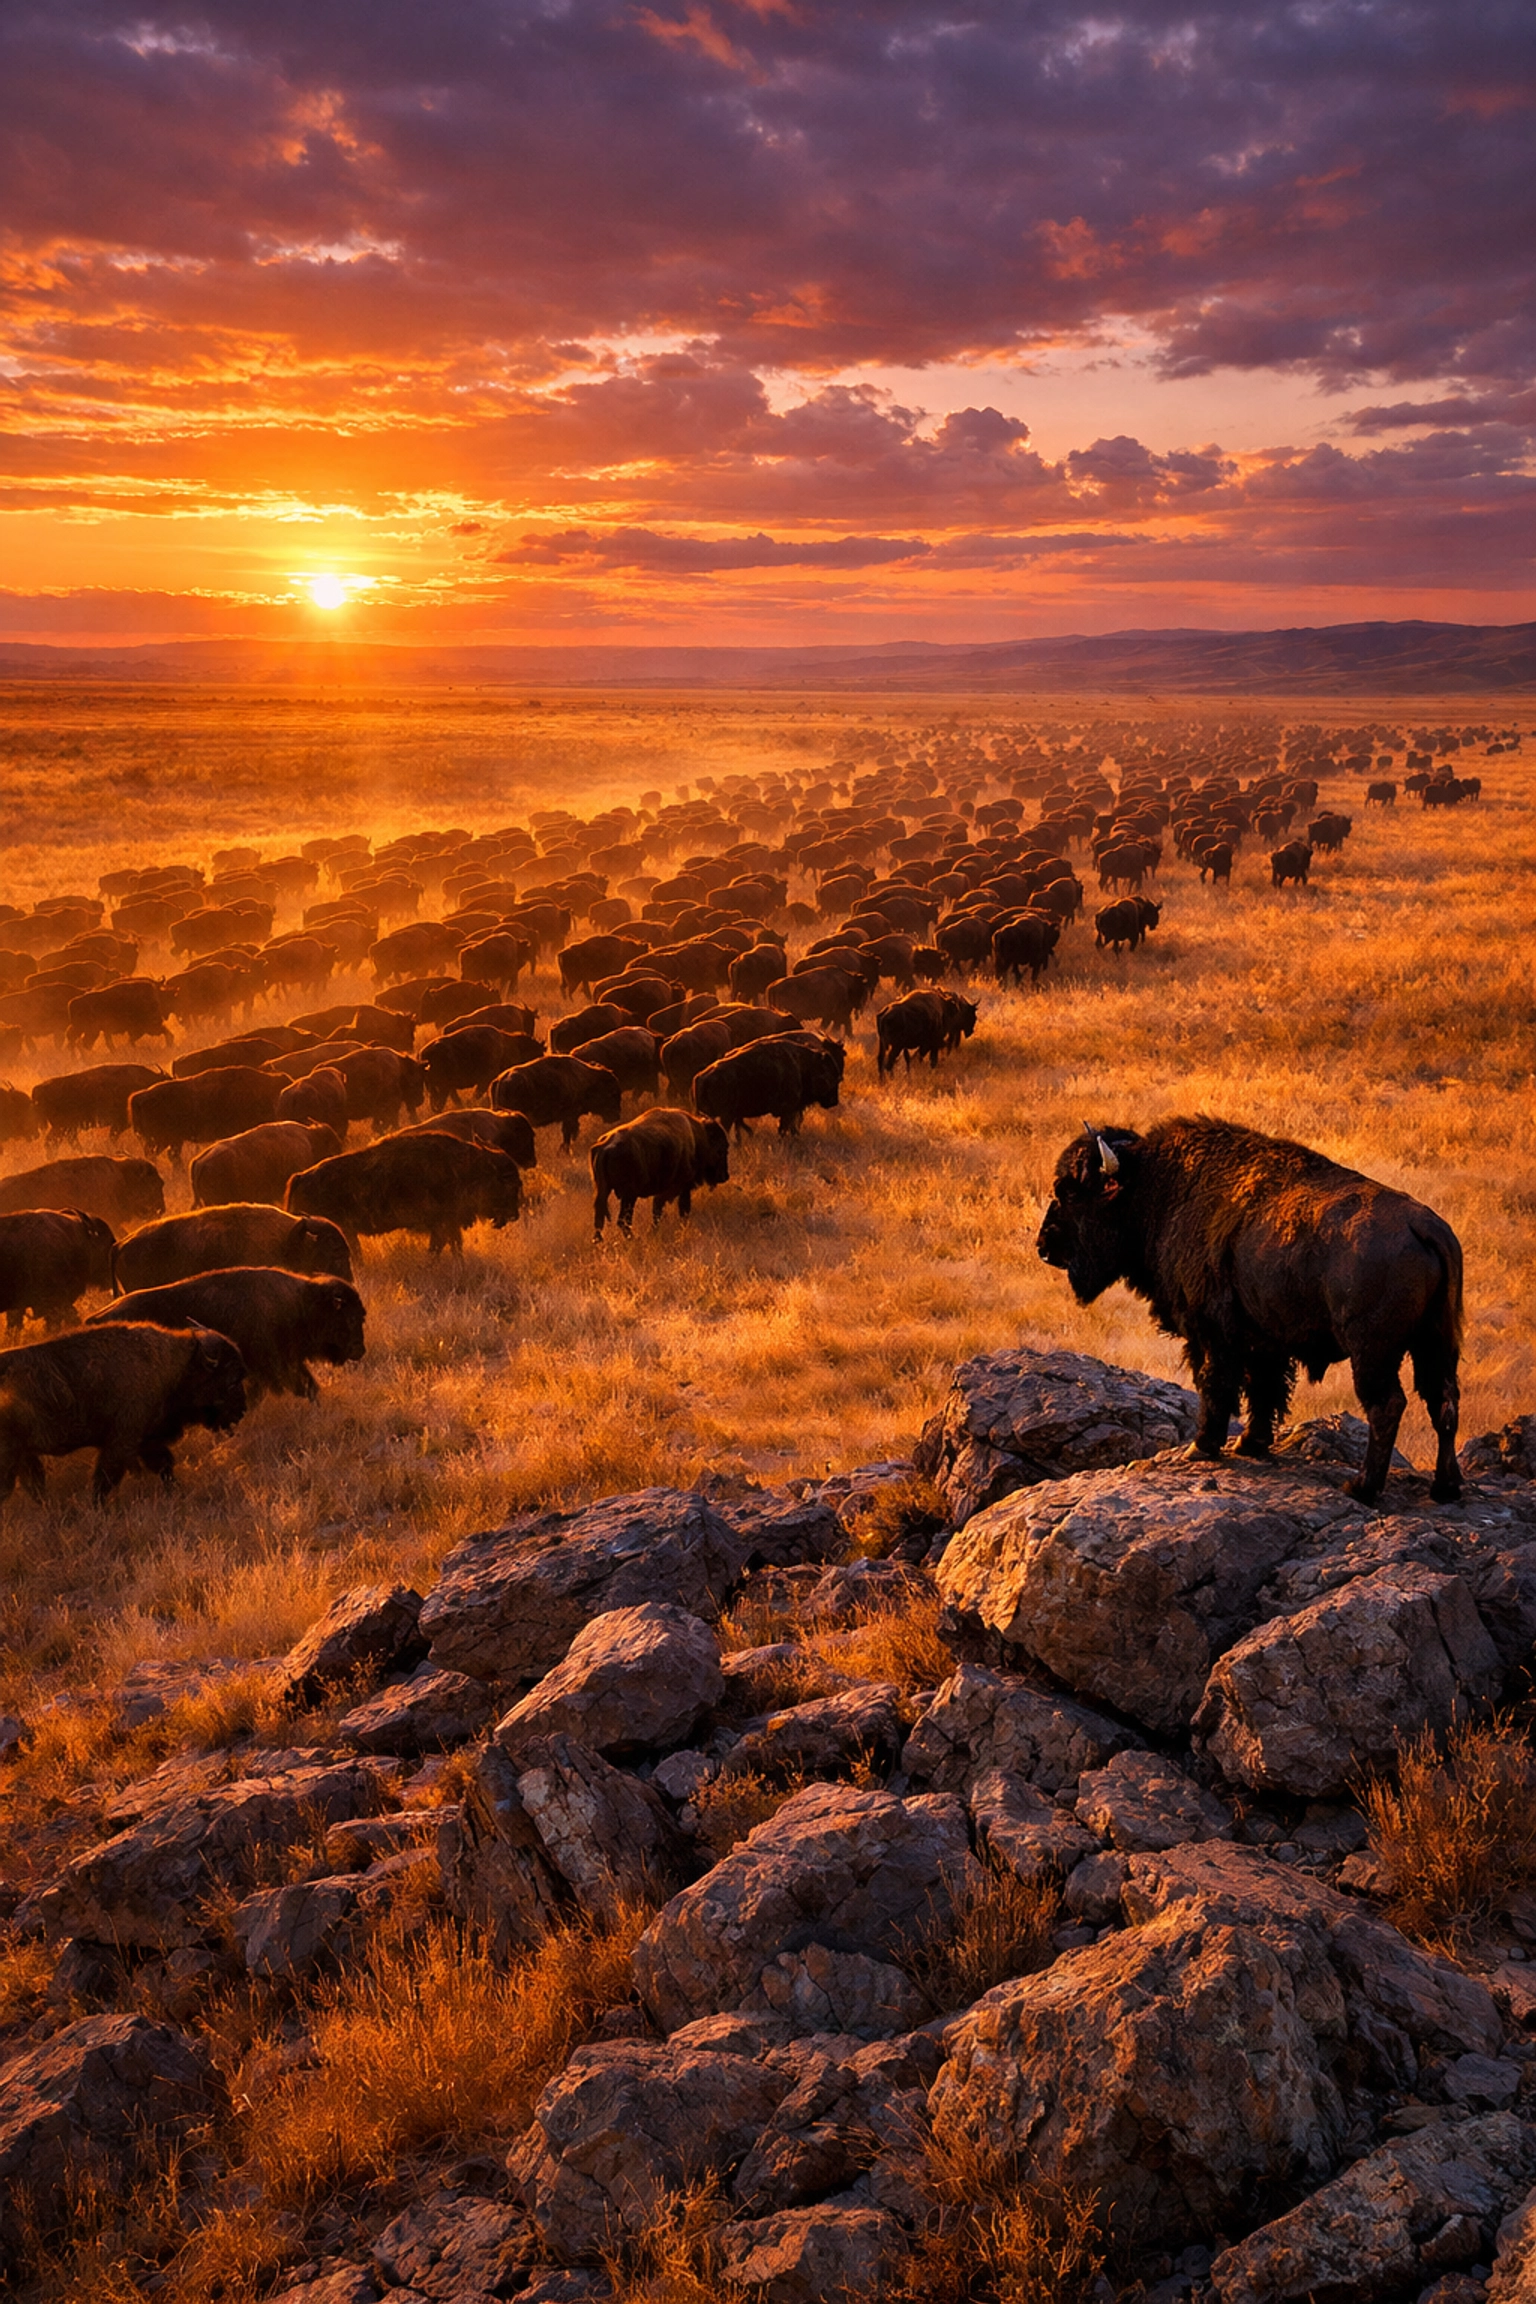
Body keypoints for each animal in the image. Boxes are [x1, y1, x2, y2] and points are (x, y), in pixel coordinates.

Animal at [0, 1322, 247, 1503]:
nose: (242, 1411)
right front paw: (98, 1509)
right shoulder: (122, 1441)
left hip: (23, 1454)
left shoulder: (147, 1440)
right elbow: (105, 1479)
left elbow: (164, 1466)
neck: (173, 1367)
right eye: (232, 1381)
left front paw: (177, 1492)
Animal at [591, 1108, 731, 1237]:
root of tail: (605, 1146)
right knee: (623, 1221)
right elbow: (681, 1210)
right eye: (721, 1150)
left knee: (601, 1221)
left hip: (606, 1191)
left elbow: (657, 1209)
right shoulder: (682, 1187)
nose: (725, 1176)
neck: (699, 1138)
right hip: (629, 1195)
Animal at [1036, 1116, 1463, 1504]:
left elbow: (1215, 1383)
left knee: (1387, 1405)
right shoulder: (1264, 1340)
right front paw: (1249, 1443)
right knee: (1443, 1402)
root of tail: (1425, 1228)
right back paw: (1446, 1488)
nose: (1043, 1246)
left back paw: (1362, 1488)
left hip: (1373, 1352)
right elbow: (1264, 1389)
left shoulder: (1211, 1333)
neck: (1153, 1186)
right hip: (1436, 1343)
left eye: (1070, 1193)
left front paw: (1202, 1447)